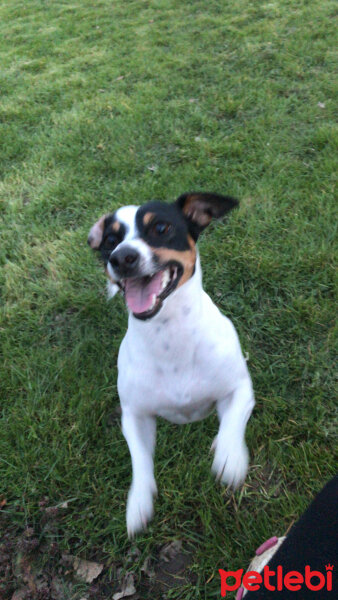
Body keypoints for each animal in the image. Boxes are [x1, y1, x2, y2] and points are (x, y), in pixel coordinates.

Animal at [88, 191, 255, 536]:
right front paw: (138, 502)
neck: (169, 334)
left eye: (161, 228)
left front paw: (230, 458)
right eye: (111, 239)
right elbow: (140, 460)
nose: (121, 258)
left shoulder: (241, 389)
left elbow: (233, 424)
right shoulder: (135, 415)